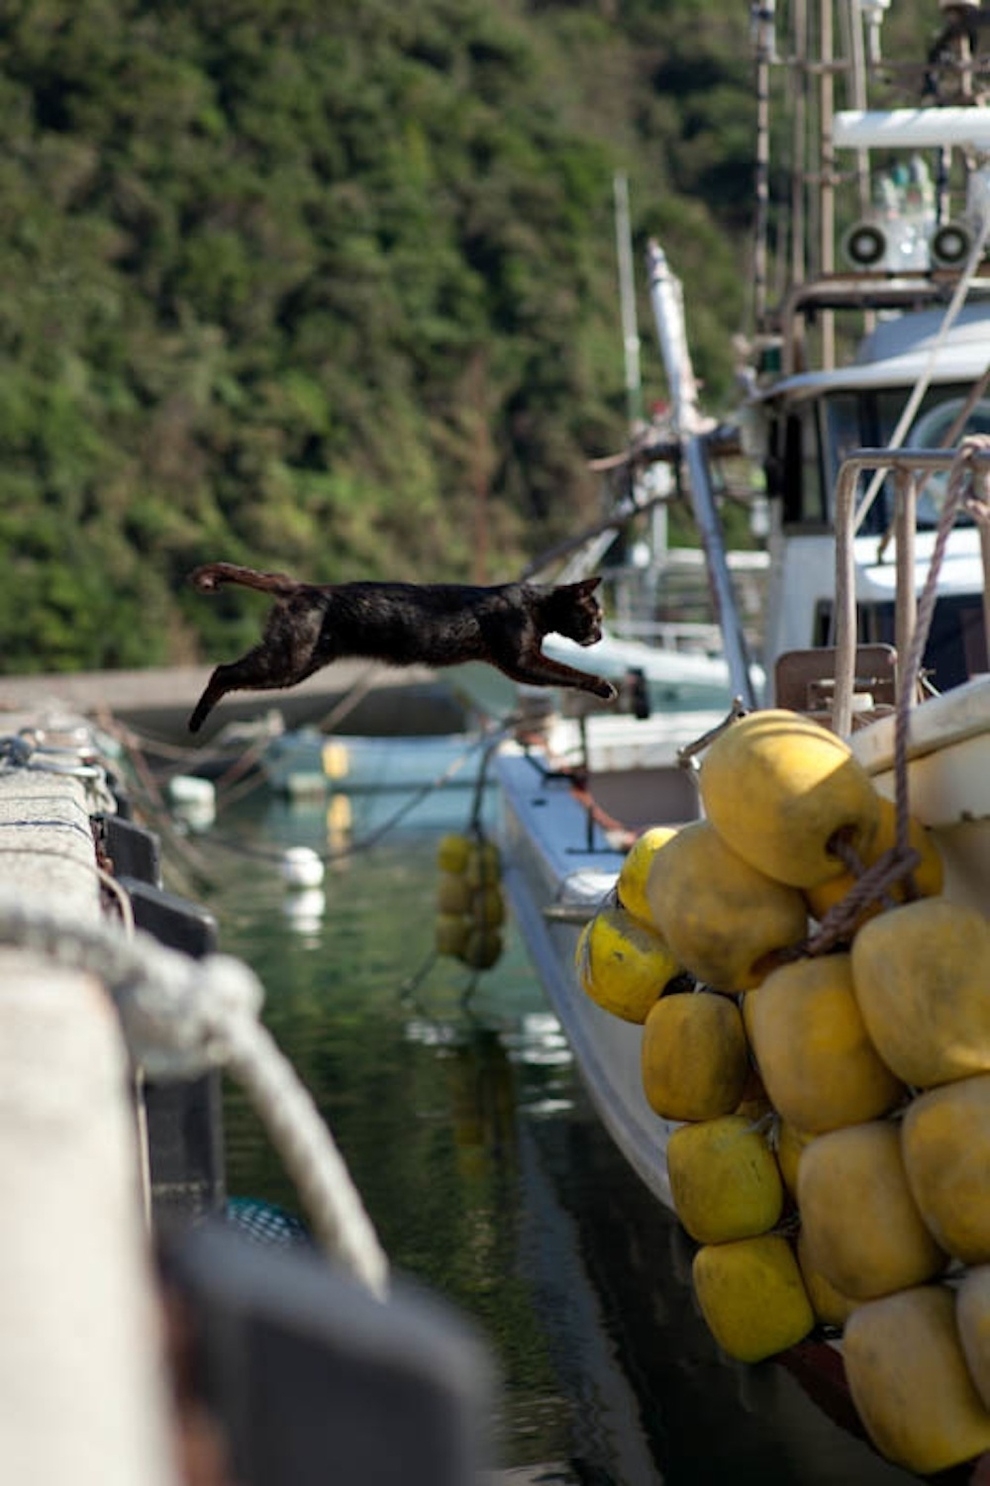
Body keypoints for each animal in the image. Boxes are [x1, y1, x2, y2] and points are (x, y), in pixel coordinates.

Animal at [185, 561, 612, 731]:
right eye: (596, 616)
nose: (601, 636)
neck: (534, 605)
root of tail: (301, 586)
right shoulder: (521, 661)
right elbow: (569, 671)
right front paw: (603, 685)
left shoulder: (520, 662)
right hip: (287, 661)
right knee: (221, 672)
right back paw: (196, 720)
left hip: (297, 665)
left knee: (229, 673)